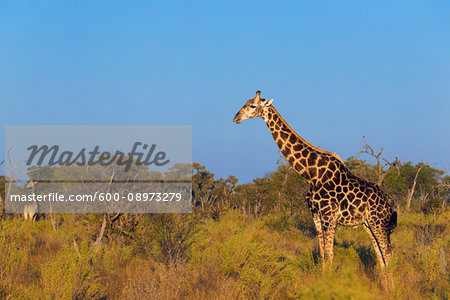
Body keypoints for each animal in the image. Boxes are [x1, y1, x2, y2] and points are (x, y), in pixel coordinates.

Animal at [234, 90, 396, 268]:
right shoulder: (316, 215)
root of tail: (389, 200)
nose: (236, 117)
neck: (310, 175)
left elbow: (330, 255)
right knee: (381, 258)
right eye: (245, 103)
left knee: (388, 254)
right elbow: (323, 255)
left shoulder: (329, 216)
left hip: (378, 222)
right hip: (368, 224)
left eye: (252, 105)